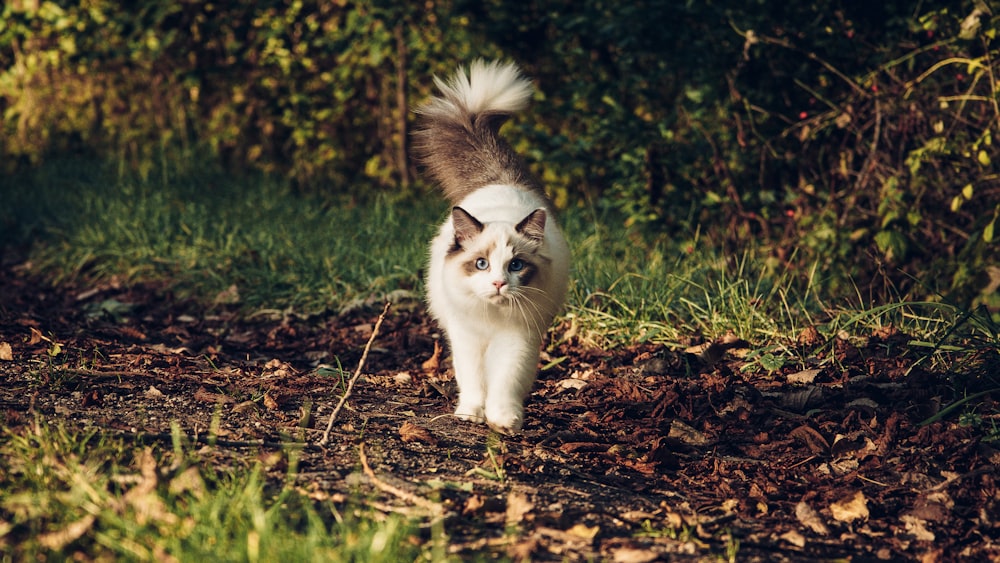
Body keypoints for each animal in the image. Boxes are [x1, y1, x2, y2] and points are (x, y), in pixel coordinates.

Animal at [412, 59, 572, 434]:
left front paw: (503, 421)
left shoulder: (517, 339)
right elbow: (472, 382)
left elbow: (504, 383)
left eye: (516, 265)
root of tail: (501, 180)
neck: (493, 318)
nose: (499, 283)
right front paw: (470, 414)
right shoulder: (467, 338)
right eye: (481, 264)